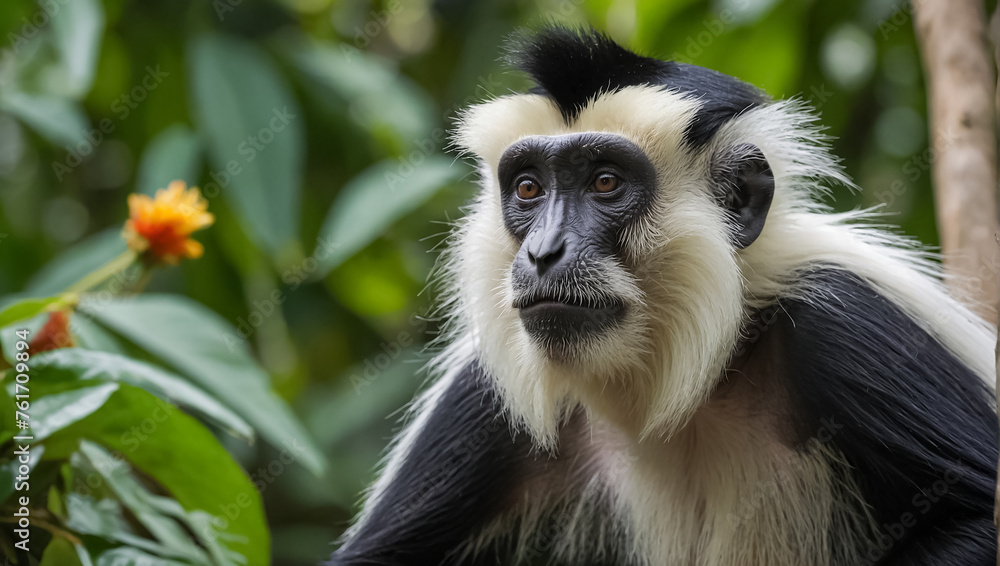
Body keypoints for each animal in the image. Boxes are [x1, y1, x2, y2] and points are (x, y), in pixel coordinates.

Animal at [328, 27, 998, 565]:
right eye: (528, 189)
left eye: (605, 183)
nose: (543, 253)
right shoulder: (484, 389)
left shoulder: (844, 325)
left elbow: (983, 517)